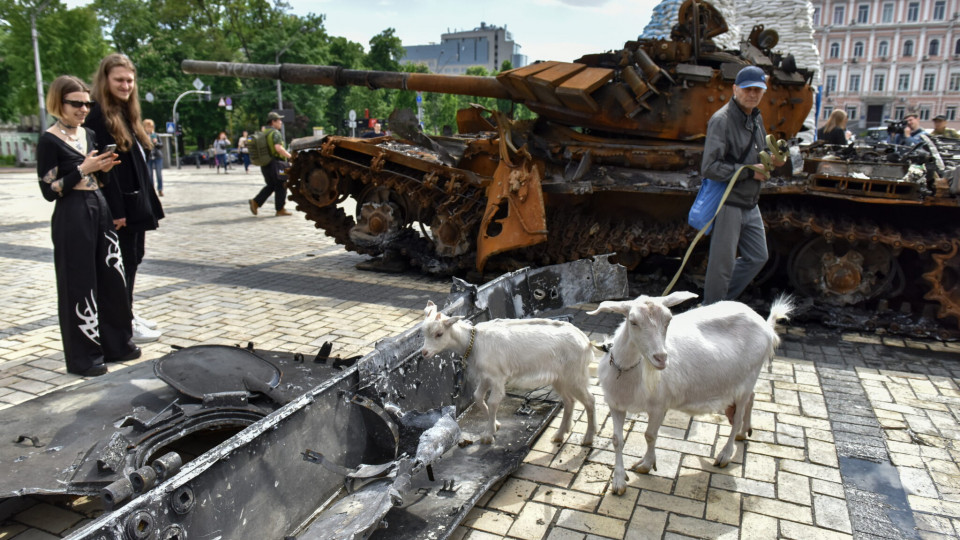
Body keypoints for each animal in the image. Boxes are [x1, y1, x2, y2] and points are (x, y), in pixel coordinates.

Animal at [420, 302, 592, 446]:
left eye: (439, 333)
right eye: (424, 333)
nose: (424, 353)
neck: (473, 342)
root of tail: (585, 341)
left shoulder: (497, 377)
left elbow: (493, 402)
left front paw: (488, 435)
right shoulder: (485, 377)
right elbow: (477, 397)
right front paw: (495, 425)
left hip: (575, 375)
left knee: (590, 400)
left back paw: (588, 438)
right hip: (560, 378)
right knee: (569, 401)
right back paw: (560, 435)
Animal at [588, 292, 792, 494]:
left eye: (669, 320)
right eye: (633, 322)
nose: (661, 358)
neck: (629, 371)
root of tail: (765, 325)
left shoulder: (659, 405)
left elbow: (650, 435)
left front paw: (646, 465)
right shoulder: (616, 404)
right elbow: (617, 440)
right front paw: (618, 481)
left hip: (749, 376)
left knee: (738, 416)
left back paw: (725, 454)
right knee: (751, 398)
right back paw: (744, 432)